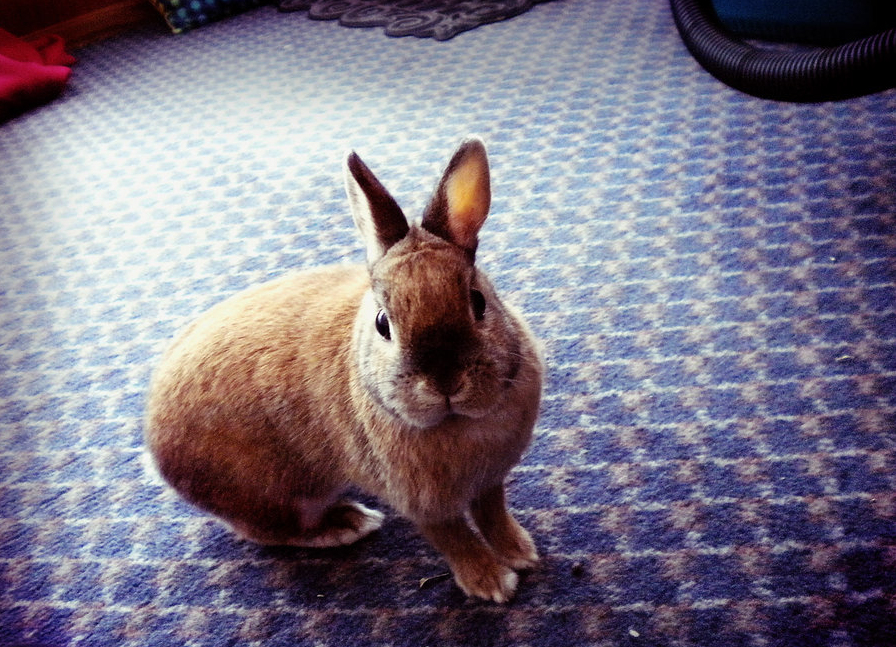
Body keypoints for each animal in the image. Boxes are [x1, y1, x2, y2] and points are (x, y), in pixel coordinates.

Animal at [144, 138, 544, 603]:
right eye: (383, 323)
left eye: (478, 302)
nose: (445, 382)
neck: (457, 422)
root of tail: (155, 448)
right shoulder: (422, 502)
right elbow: (454, 538)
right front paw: (492, 584)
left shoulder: (490, 479)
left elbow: (493, 513)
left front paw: (521, 553)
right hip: (283, 494)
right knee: (268, 530)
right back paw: (348, 523)